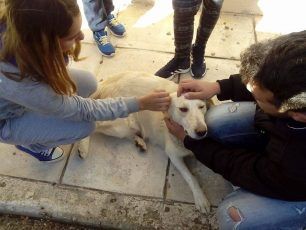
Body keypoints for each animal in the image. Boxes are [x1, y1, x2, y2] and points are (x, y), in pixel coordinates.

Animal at [77, 72, 210, 214]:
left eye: (201, 107)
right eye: (183, 109)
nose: (202, 132)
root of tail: (109, 81)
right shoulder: (173, 154)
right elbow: (191, 177)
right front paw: (201, 199)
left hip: (124, 128)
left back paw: (139, 142)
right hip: (118, 124)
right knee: (94, 124)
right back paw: (82, 147)